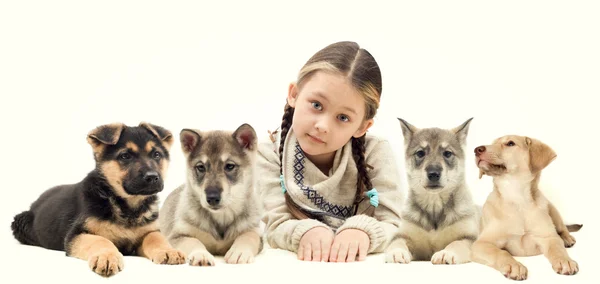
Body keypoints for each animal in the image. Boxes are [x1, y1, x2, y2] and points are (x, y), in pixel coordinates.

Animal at [10, 122, 185, 278]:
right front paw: (106, 257)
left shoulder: (147, 232)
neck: (127, 206)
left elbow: (156, 238)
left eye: (156, 154)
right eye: (125, 156)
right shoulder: (77, 234)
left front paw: (168, 250)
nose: (152, 177)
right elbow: (100, 240)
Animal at [159, 123, 262, 266]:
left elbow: (248, 236)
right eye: (201, 167)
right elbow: (193, 241)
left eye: (229, 166)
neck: (221, 216)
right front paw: (200, 254)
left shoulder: (255, 231)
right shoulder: (177, 235)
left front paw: (240, 251)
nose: (212, 198)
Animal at [474, 135, 580, 280]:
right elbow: (500, 253)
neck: (517, 198)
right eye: (492, 143)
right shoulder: (481, 244)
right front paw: (514, 266)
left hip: (553, 211)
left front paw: (565, 261)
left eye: (510, 143)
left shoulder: (548, 237)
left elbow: (557, 249)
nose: (476, 150)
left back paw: (567, 238)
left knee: (562, 229)